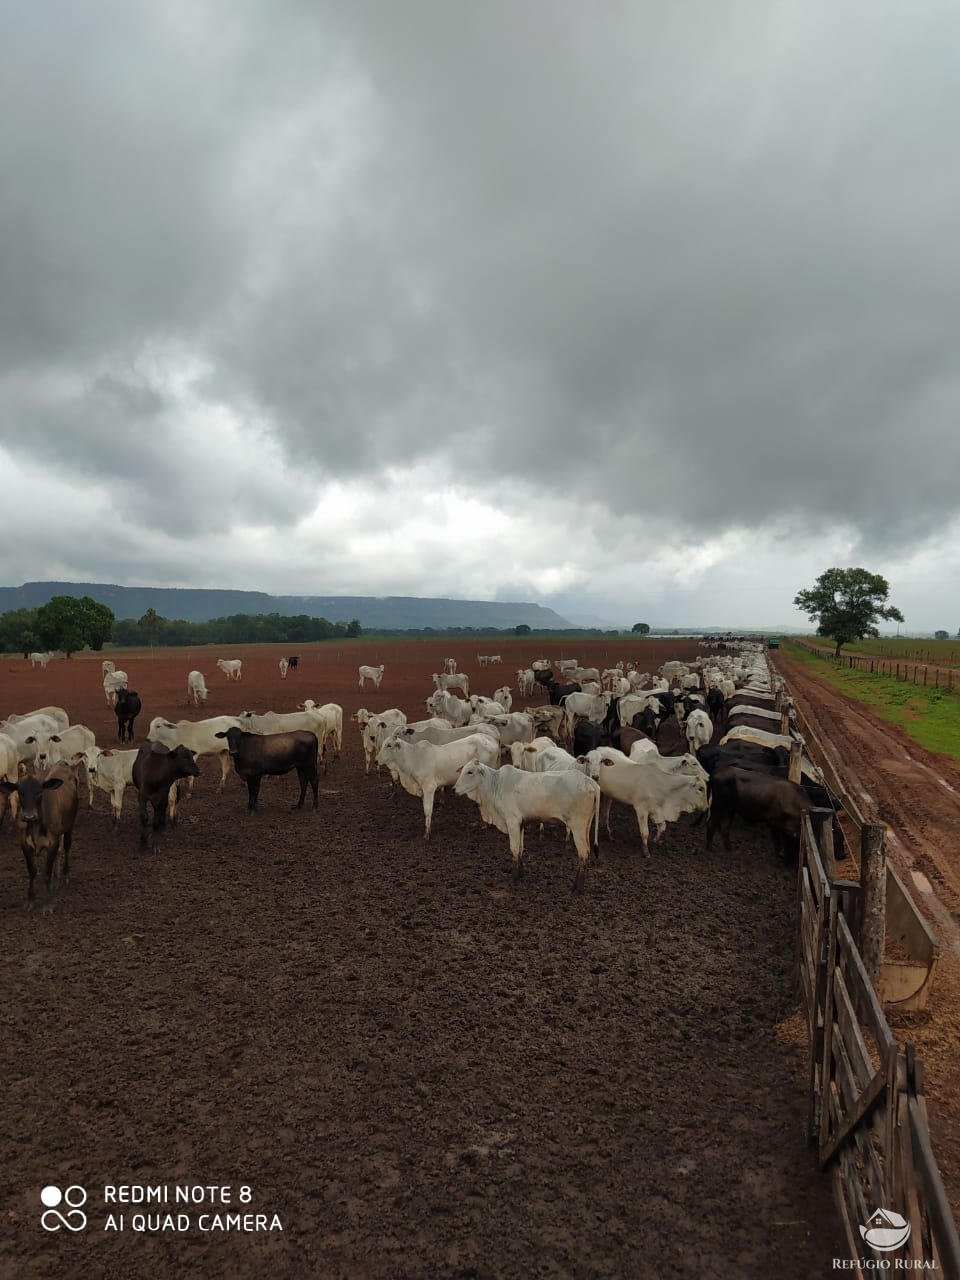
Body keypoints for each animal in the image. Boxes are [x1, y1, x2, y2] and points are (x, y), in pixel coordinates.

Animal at [0, 762, 80, 906]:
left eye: (39, 792)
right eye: (21, 792)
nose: (29, 816)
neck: (35, 827)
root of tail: (62, 763)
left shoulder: (53, 842)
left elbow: (46, 872)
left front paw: (47, 902)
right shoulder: (24, 844)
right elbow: (32, 870)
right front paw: (31, 899)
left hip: (70, 826)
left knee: (66, 847)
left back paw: (64, 875)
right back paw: (56, 879)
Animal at [453, 757, 601, 890]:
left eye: (470, 772)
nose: (454, 789)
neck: (496, 784)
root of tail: (587, 780)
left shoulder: (512, 821)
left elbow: (514, 848)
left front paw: (514, 879)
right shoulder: (521, 823)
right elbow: (520, 848)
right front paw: (521, 874)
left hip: (577, 827)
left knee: (584, 853)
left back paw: (577, 889)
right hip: (586, 826)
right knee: (587, 853)